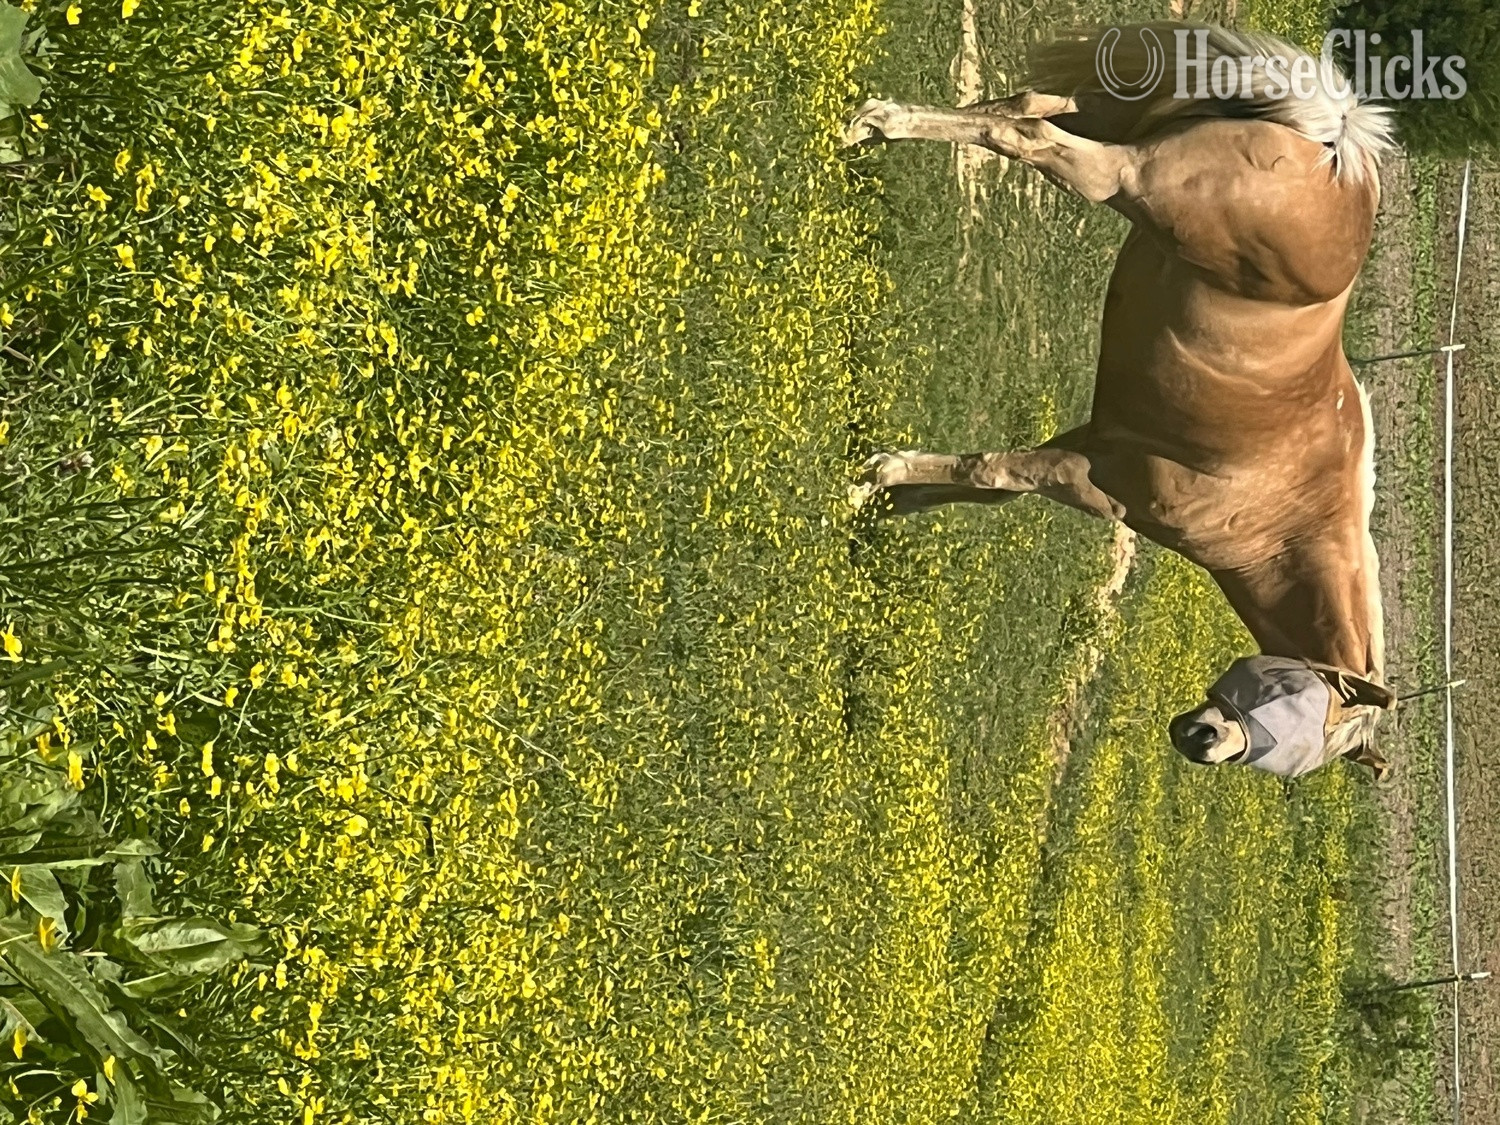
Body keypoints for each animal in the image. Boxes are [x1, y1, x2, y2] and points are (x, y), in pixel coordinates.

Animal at [844, 24, 1402, 779]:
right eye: (1301, 709)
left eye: (1297, 763)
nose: (1202, 742)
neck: (1282, 509)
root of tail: (1332, 141)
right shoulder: (1095, 482)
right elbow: (990, 471)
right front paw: (868, 480)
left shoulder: (1095, 439)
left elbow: (978, 486)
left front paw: (884, 498)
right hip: (1113, 174)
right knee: (1020, 133)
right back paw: (874, 124)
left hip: (1102, 118)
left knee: (1023, 107)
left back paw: (874, 124)